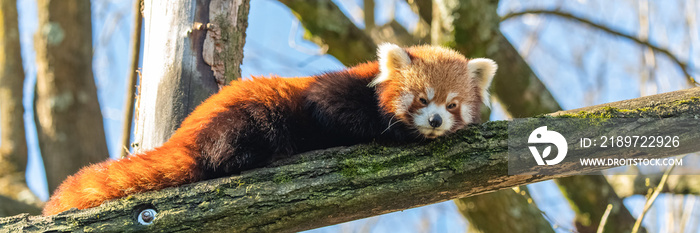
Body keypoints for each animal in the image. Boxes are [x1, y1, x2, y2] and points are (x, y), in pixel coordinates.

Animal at [42, 43, 498, 215]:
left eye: (452, 105)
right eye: (422, 99)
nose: (436, 121)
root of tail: (185, 134)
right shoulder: (333, 91)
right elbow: (335, 114)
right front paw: (399, 131)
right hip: (246, 116)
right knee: (227, 149)